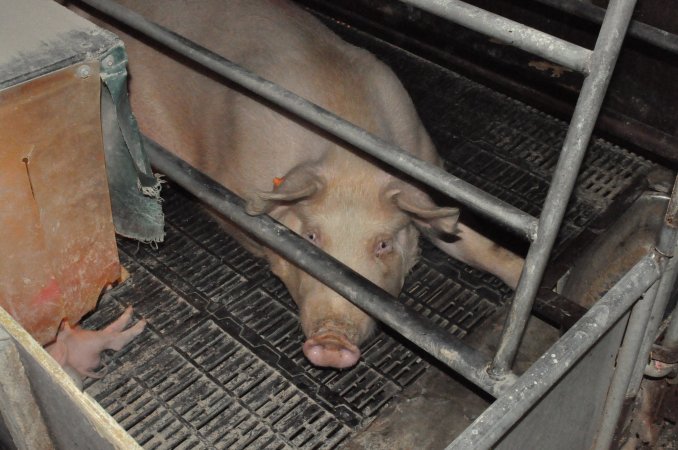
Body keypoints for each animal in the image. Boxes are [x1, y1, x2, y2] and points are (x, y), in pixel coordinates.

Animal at [69, 0, 524, 370]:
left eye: (383, 244)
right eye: (310, 237)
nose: (333, 342)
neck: (351, 158)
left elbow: (473, 242)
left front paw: (522, 276)